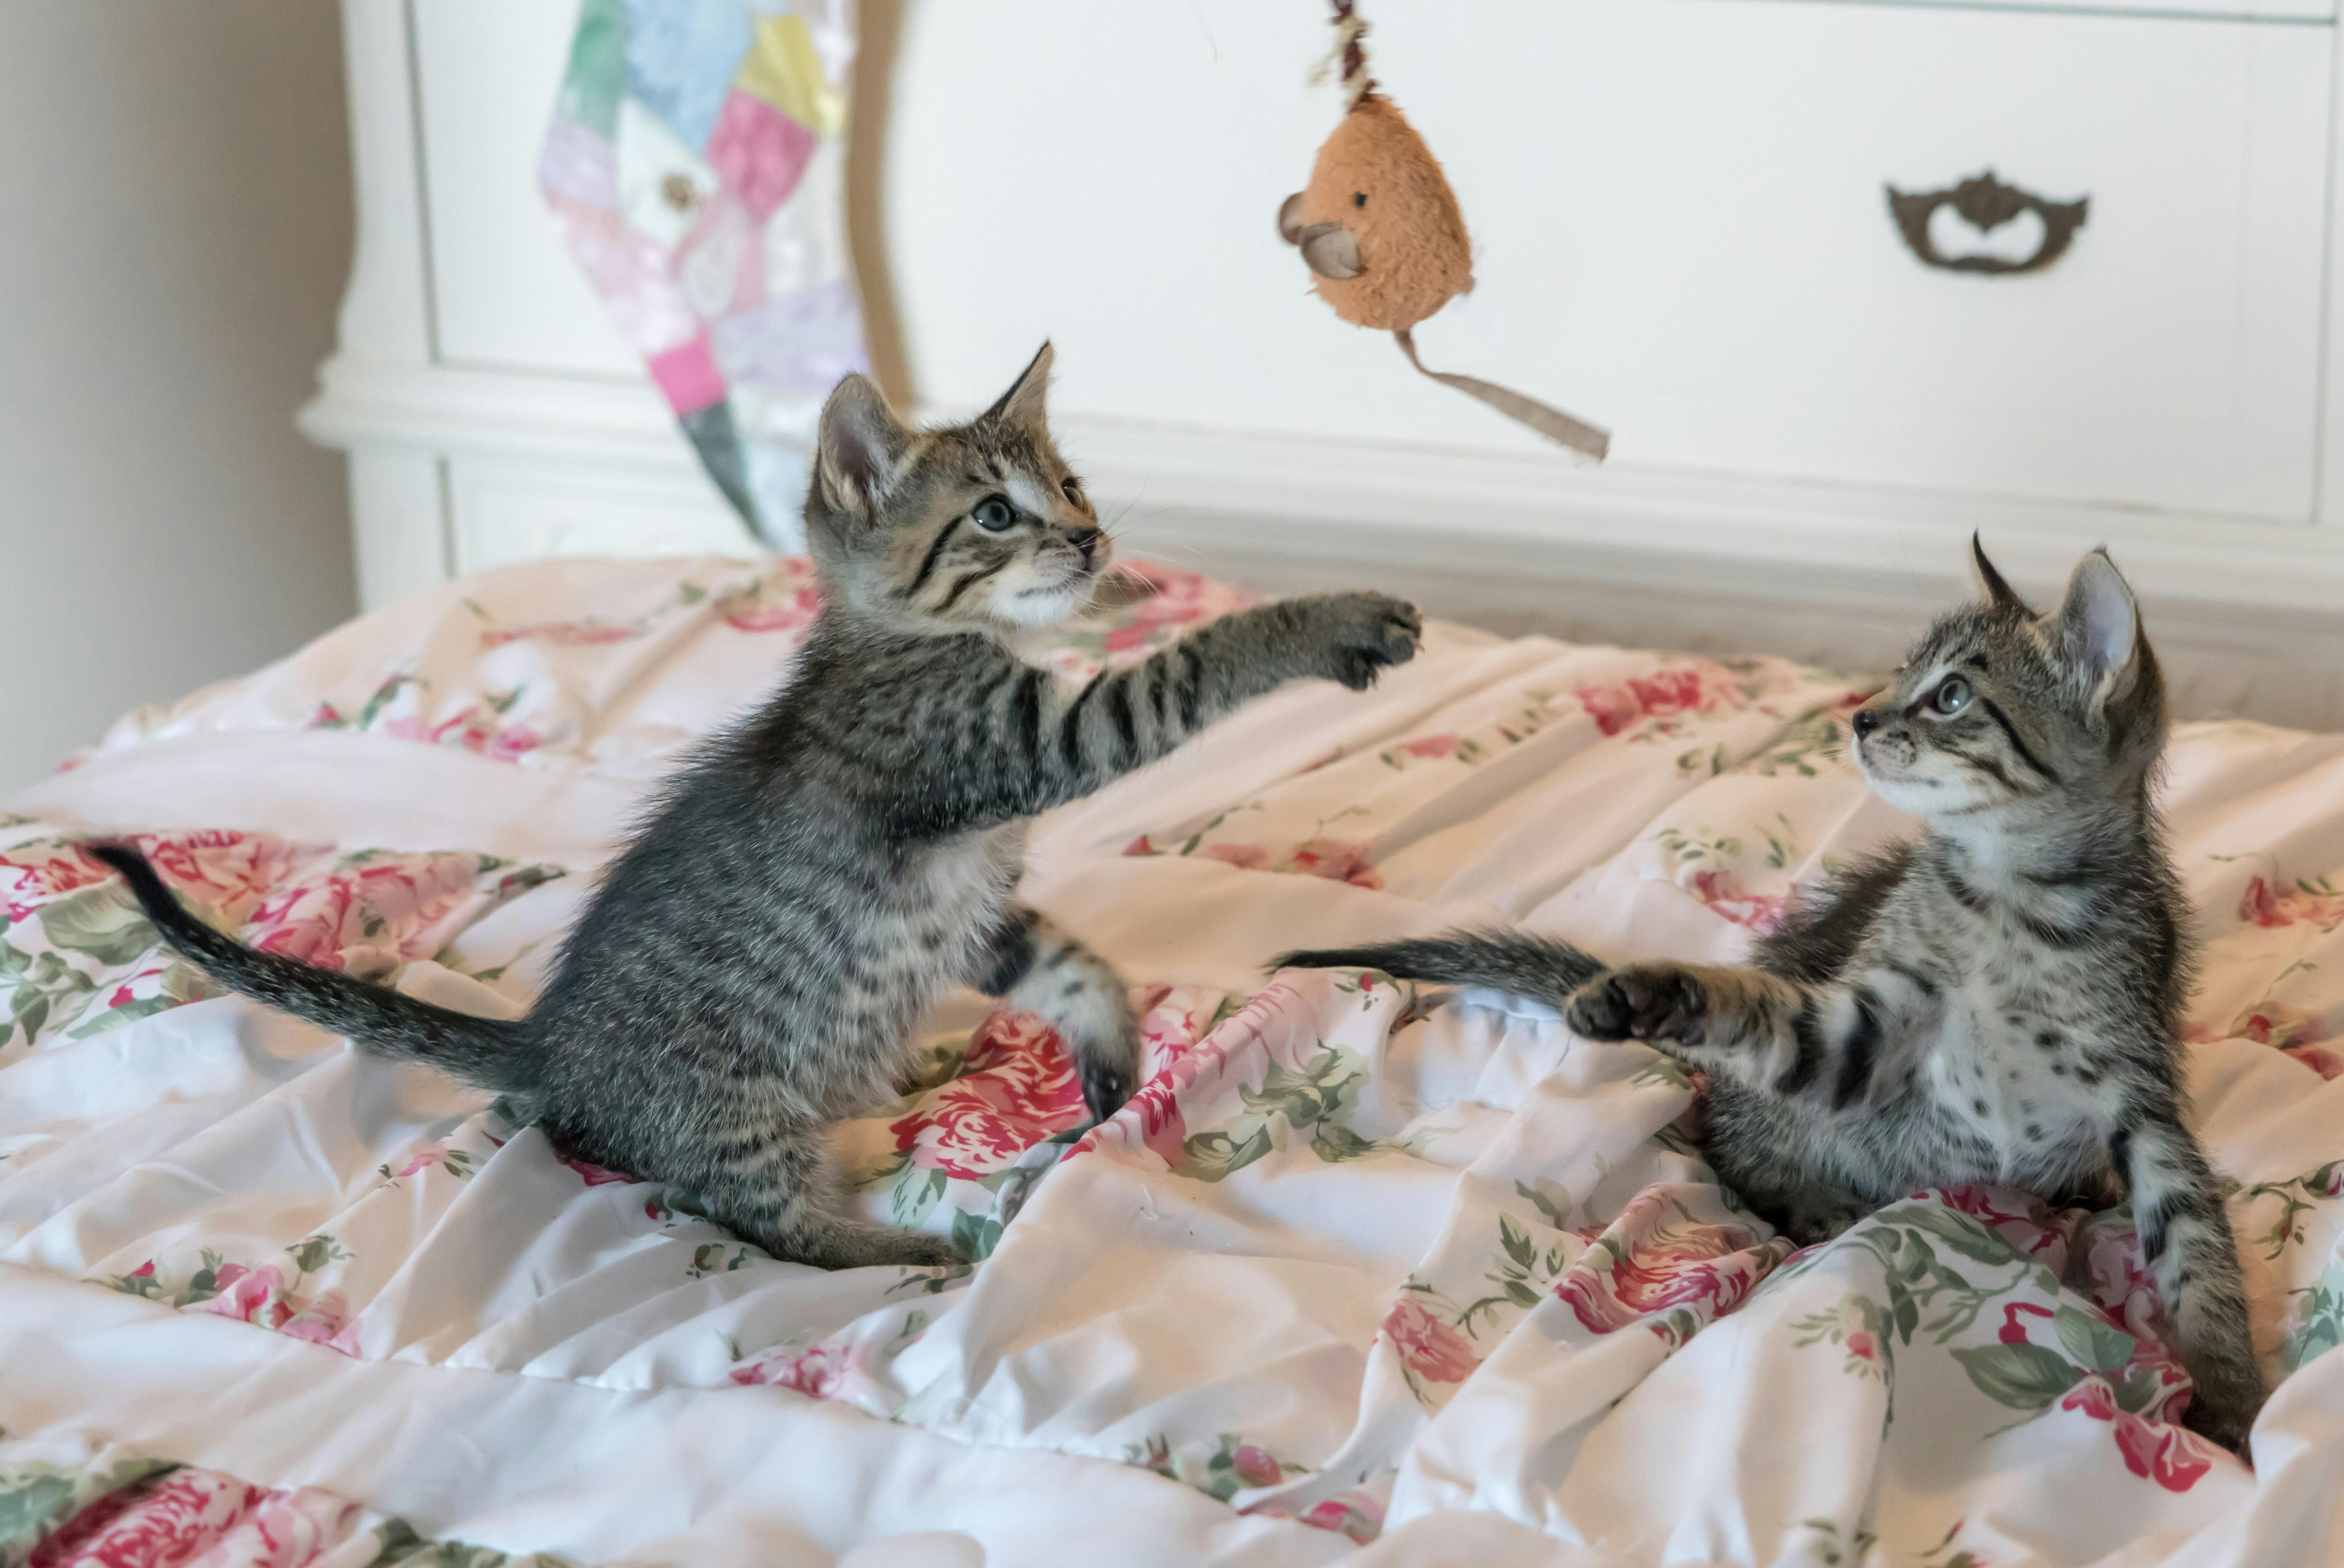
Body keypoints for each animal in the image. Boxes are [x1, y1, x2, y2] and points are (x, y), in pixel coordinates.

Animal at [100, 344, 1425, 1275]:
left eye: (1069, 482)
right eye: (997, 513)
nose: (1093, 537)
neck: (912, 640)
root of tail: (547, 1045)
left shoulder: (970, 901)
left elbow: (1071, 963)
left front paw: (1110, 1047)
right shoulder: (1016, 748)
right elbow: (1195, 666)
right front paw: (1334, 617)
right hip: (735, 1109)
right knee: (763, 1223)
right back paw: (912, 1250)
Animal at [1284, 544, 2269, 1453]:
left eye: (1951, 696)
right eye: (1902, 673)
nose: (1860, 714)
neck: (2009, 902)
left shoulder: (2142, 1096)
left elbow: (2197, 1246)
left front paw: (2230, 1397)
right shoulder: (1863, 1033)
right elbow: (1756, 1013)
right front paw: (1645, 990)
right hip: (1783, 1115)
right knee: (1729, 1132)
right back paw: (1810, 1198)